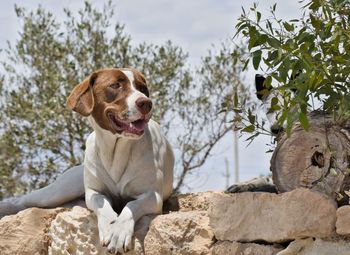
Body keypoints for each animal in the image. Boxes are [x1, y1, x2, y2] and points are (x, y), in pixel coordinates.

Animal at [0, 66, 174, 254]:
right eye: (115, 85)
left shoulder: (152, 196)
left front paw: (119, 231)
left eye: (142, 88)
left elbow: (132, 206)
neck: (116, 149)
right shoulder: (93, 193)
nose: (146, 103)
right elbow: (103, 206)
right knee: (22, 200)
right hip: (60, 190)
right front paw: (110, 225)